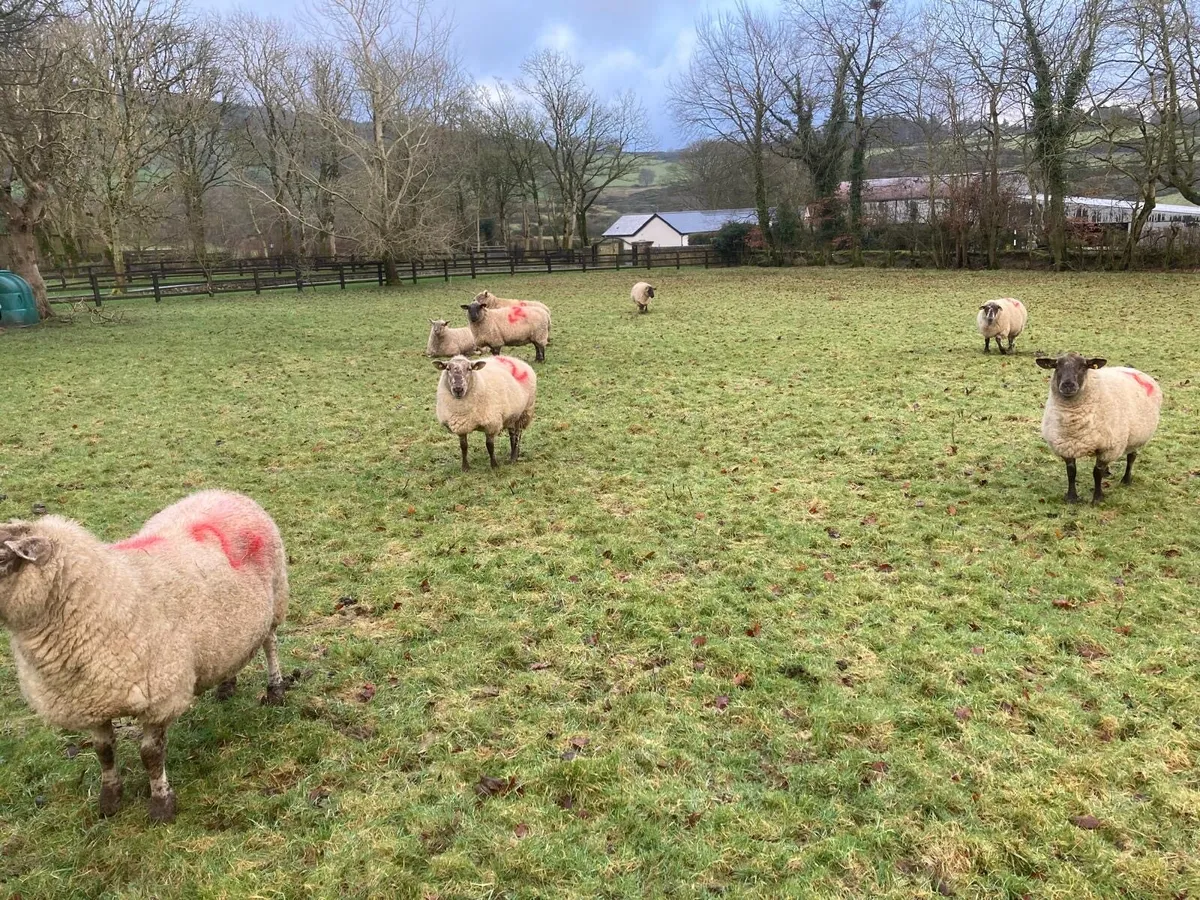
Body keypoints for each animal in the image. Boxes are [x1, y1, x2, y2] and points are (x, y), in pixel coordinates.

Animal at [0, 490, 289, 823]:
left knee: (270, 644)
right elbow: (104, 751)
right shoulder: (91, 700)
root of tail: (225, 493)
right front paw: (109, 800)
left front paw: (162, 804)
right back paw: (226, 685)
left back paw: (276, 689)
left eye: (2, 557)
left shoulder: (160, 696)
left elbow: (151, 755)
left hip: (275, 599)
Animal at [1035, 352, 1163, 504]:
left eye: (1083, 366)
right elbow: (1071, 472)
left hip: (1137, 434)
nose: (1068, 385)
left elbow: (1096, 473)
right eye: (1056, 366)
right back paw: (1107, 472)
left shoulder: (1108, 448)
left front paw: (1097, 498)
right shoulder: (1068, 445)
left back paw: (1126, 480)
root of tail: (1133, 369)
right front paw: (1072, 497)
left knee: (1131, 457)